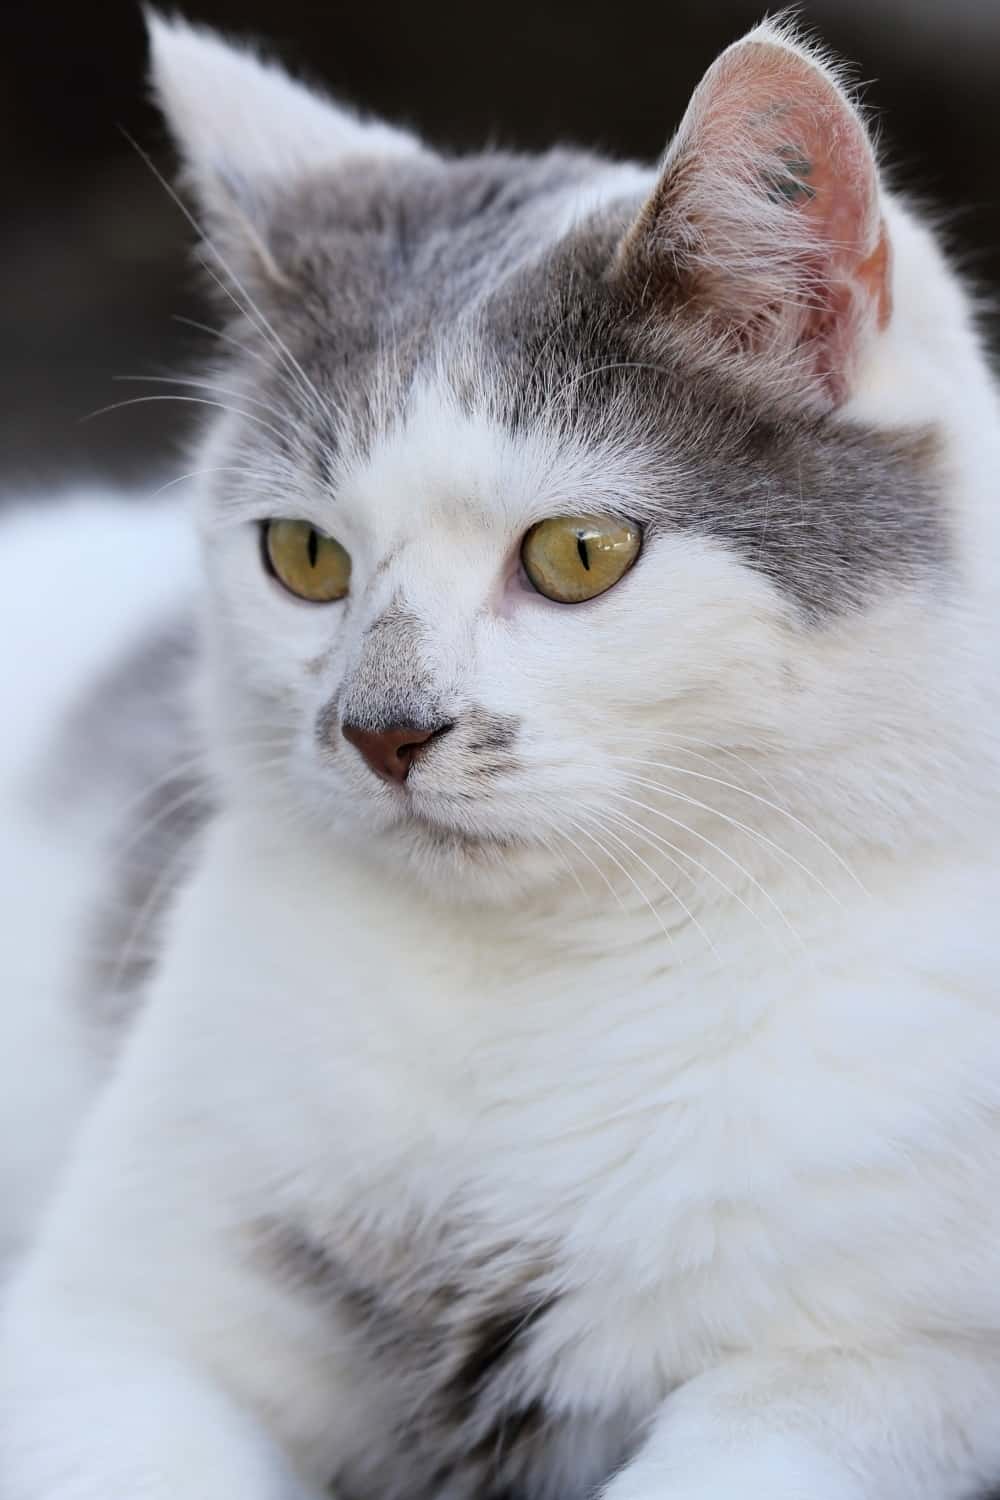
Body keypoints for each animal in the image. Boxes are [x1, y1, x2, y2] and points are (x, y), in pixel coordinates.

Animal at [1, 11, 1000, 1500]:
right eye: (303, 557)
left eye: (580, 554)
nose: (383, 728)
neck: (531, 989)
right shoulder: (95, 1328)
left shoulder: (893, 1363)